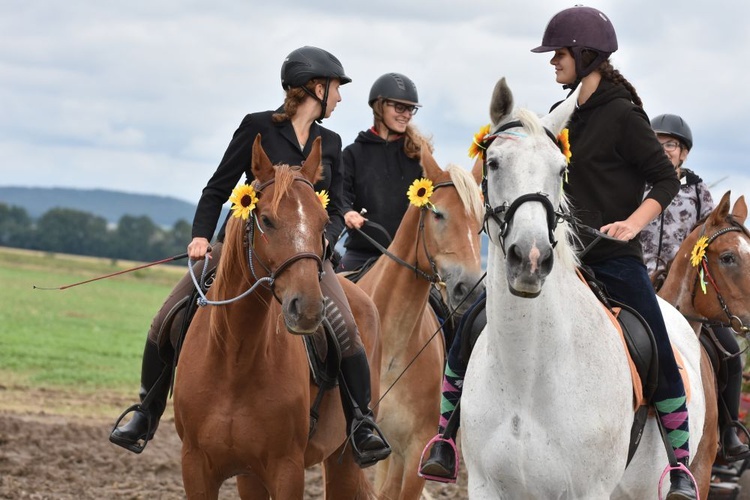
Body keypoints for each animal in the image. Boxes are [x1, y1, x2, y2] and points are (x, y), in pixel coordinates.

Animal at [175, 135, 382, 498]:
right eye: (268, 220)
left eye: (323, 222)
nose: (309, 308)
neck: (235, 356)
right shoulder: (196, 467)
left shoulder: (287, 469)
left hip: (342, 459)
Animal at [462, 76, 712, 498]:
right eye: (493, 163)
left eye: (561, 169)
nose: (531, 258)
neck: (526, 376)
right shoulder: (485, 486)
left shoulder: (588, 489)